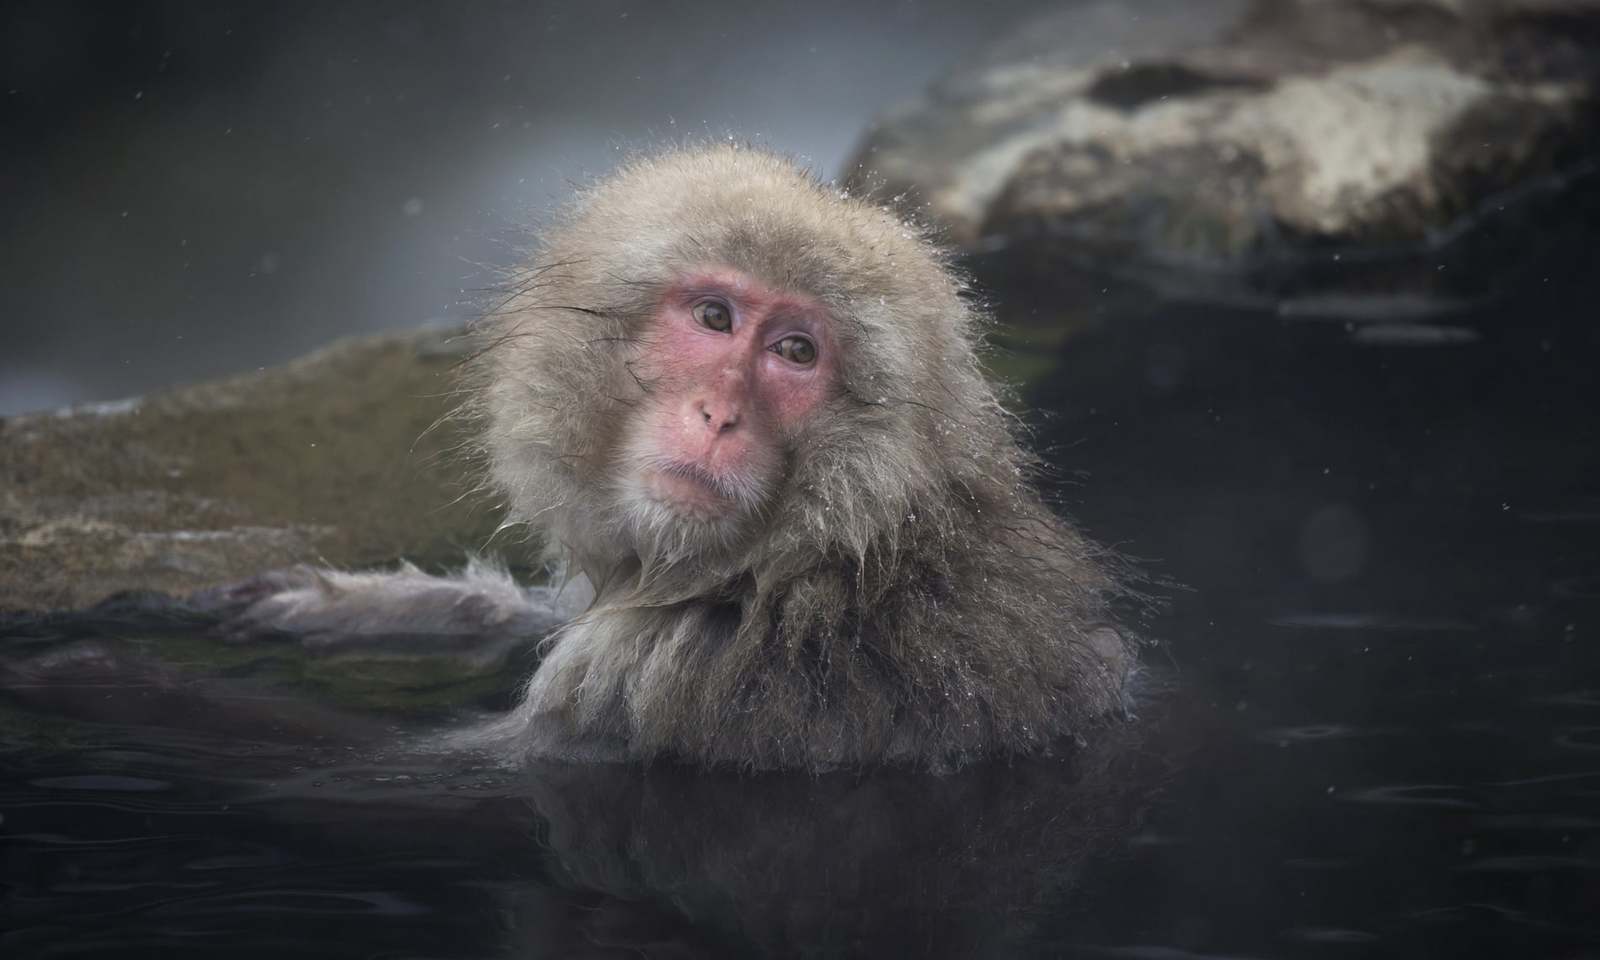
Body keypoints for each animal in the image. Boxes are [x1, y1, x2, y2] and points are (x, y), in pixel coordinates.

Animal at [212, 144, 1139, 771]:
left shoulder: (677, 669)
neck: (810, 557)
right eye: (715, 319)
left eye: (796, 352)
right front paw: (375, 604)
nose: (717, 415)